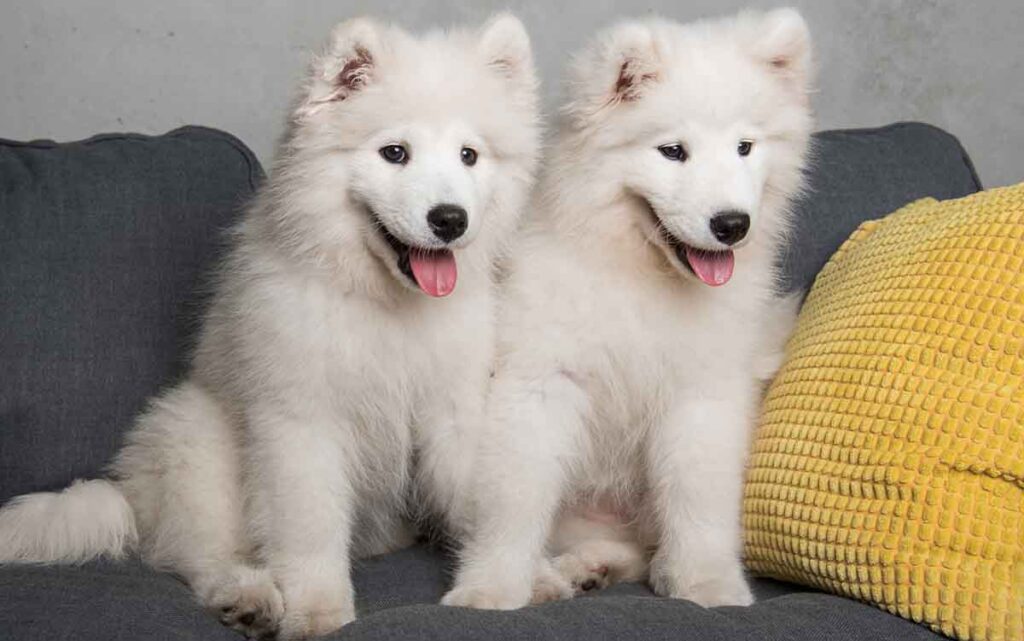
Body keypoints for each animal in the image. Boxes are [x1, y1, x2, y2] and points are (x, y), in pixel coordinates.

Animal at [0, 12, 544, 634]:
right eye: (395, 153)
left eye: (469, 156)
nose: (450, 220)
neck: (382, 301)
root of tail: (131, 494)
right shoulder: (301, 423)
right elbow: (310, 530)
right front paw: (319, 613)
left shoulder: (455, 411)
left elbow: (487, 501)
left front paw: (510, 581)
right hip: (195, 433)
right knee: (199, 554)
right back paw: (248, 596)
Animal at [444, 8, 811, 610]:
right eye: (672, 151)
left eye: (745, 147)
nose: (732, 224)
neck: (641, 274)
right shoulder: (539, 386)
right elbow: (514, 500)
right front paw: (490, 588)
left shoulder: (700, 393)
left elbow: (698, 498)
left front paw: (707, 584)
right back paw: (565, 574)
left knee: (644, 548)